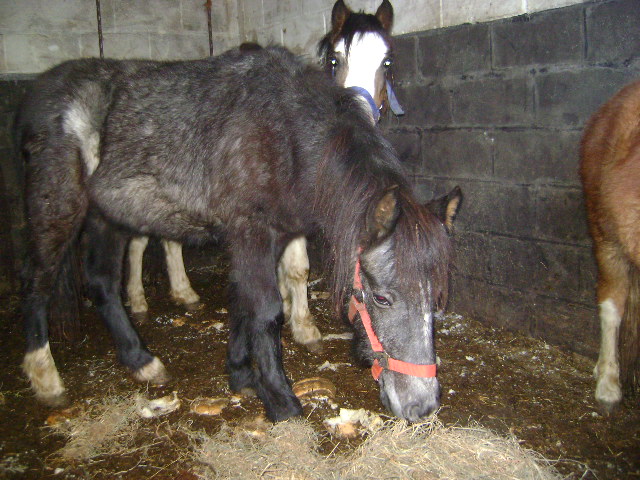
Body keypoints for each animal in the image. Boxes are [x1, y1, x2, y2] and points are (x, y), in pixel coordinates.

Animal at [17, 45, 458, 420]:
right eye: (381, 298)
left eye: (436, 298)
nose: (421, 407)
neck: (286, 137)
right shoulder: (252, 234)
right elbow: (265, 310)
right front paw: (281, 401)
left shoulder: (269, 238)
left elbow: (245, 303)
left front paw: (241, 376)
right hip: (59, 208)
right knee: (37, 283)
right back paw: (47, 379)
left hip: (106, 217)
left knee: (102, 283)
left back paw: (141, 362)